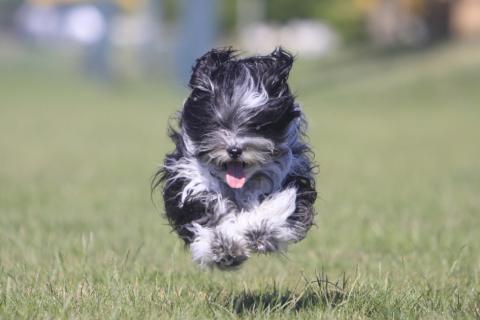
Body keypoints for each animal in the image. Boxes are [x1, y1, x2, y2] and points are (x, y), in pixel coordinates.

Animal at [154, 47, 316, 270]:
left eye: (257, 125)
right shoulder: (191, 180)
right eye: (217, 123)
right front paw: (223, 247)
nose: (234, 150)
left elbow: (278, 205)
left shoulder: (289, 177)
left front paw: (257, 230)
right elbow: (210, 212)